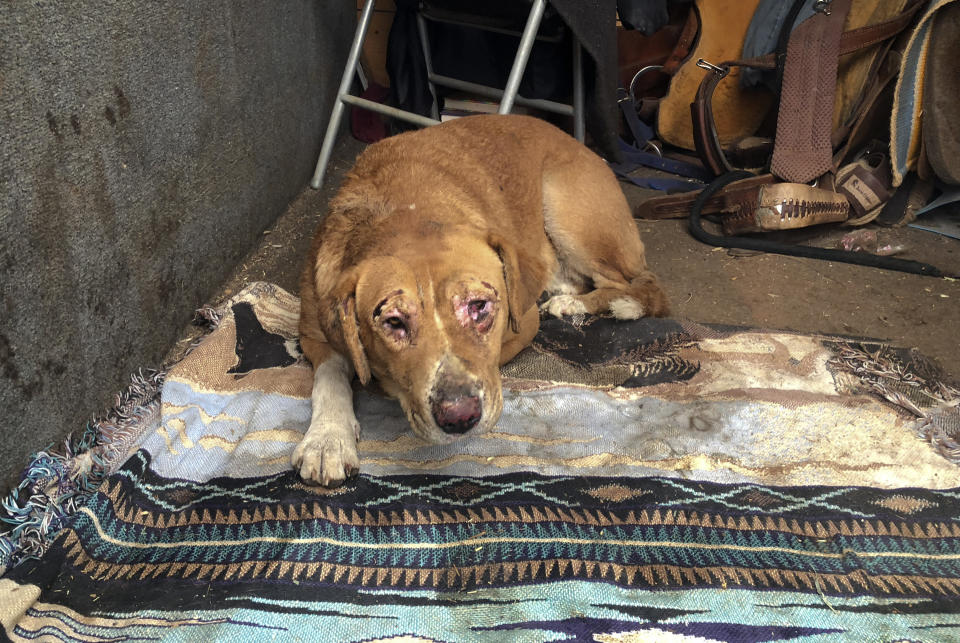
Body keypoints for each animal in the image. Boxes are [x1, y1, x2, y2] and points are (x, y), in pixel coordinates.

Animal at [292, 117, 668, 488]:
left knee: (641, 287)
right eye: (393, 322)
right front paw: (327, 439)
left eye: (479, 307)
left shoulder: (522, 326)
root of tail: (583, 147)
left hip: (571, 217)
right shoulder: (313, 333)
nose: (459, 417)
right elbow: (328, 379)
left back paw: (581, 303)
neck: (402, 212)